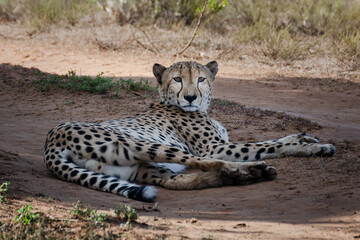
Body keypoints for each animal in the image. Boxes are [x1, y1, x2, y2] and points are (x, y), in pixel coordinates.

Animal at [43, 61, 336, 202]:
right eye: (177, 79)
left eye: (201, 79)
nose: (191, 97)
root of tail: (51, 139)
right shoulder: (215, 147)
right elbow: (266, 146)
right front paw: (315, 147)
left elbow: (274, 139)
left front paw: (307, 137)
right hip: (144, 145)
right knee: (203, 162)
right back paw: (248, 171)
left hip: (138, 168)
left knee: (174, 181)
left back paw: (235, 177)